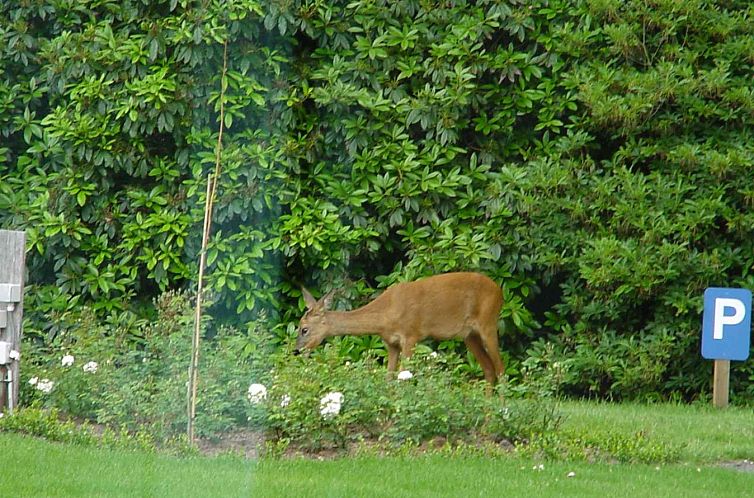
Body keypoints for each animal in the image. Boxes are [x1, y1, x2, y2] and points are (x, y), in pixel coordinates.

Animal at [294, 272, 506, 386]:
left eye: (304, 329)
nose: (296, 350)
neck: (385, 314)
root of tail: (499, 290)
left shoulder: (411, 335)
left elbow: (403, 377)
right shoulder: (391, 343)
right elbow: (388, 378)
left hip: (488, 322)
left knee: (501, 369)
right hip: (469, 335)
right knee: (489, 370)